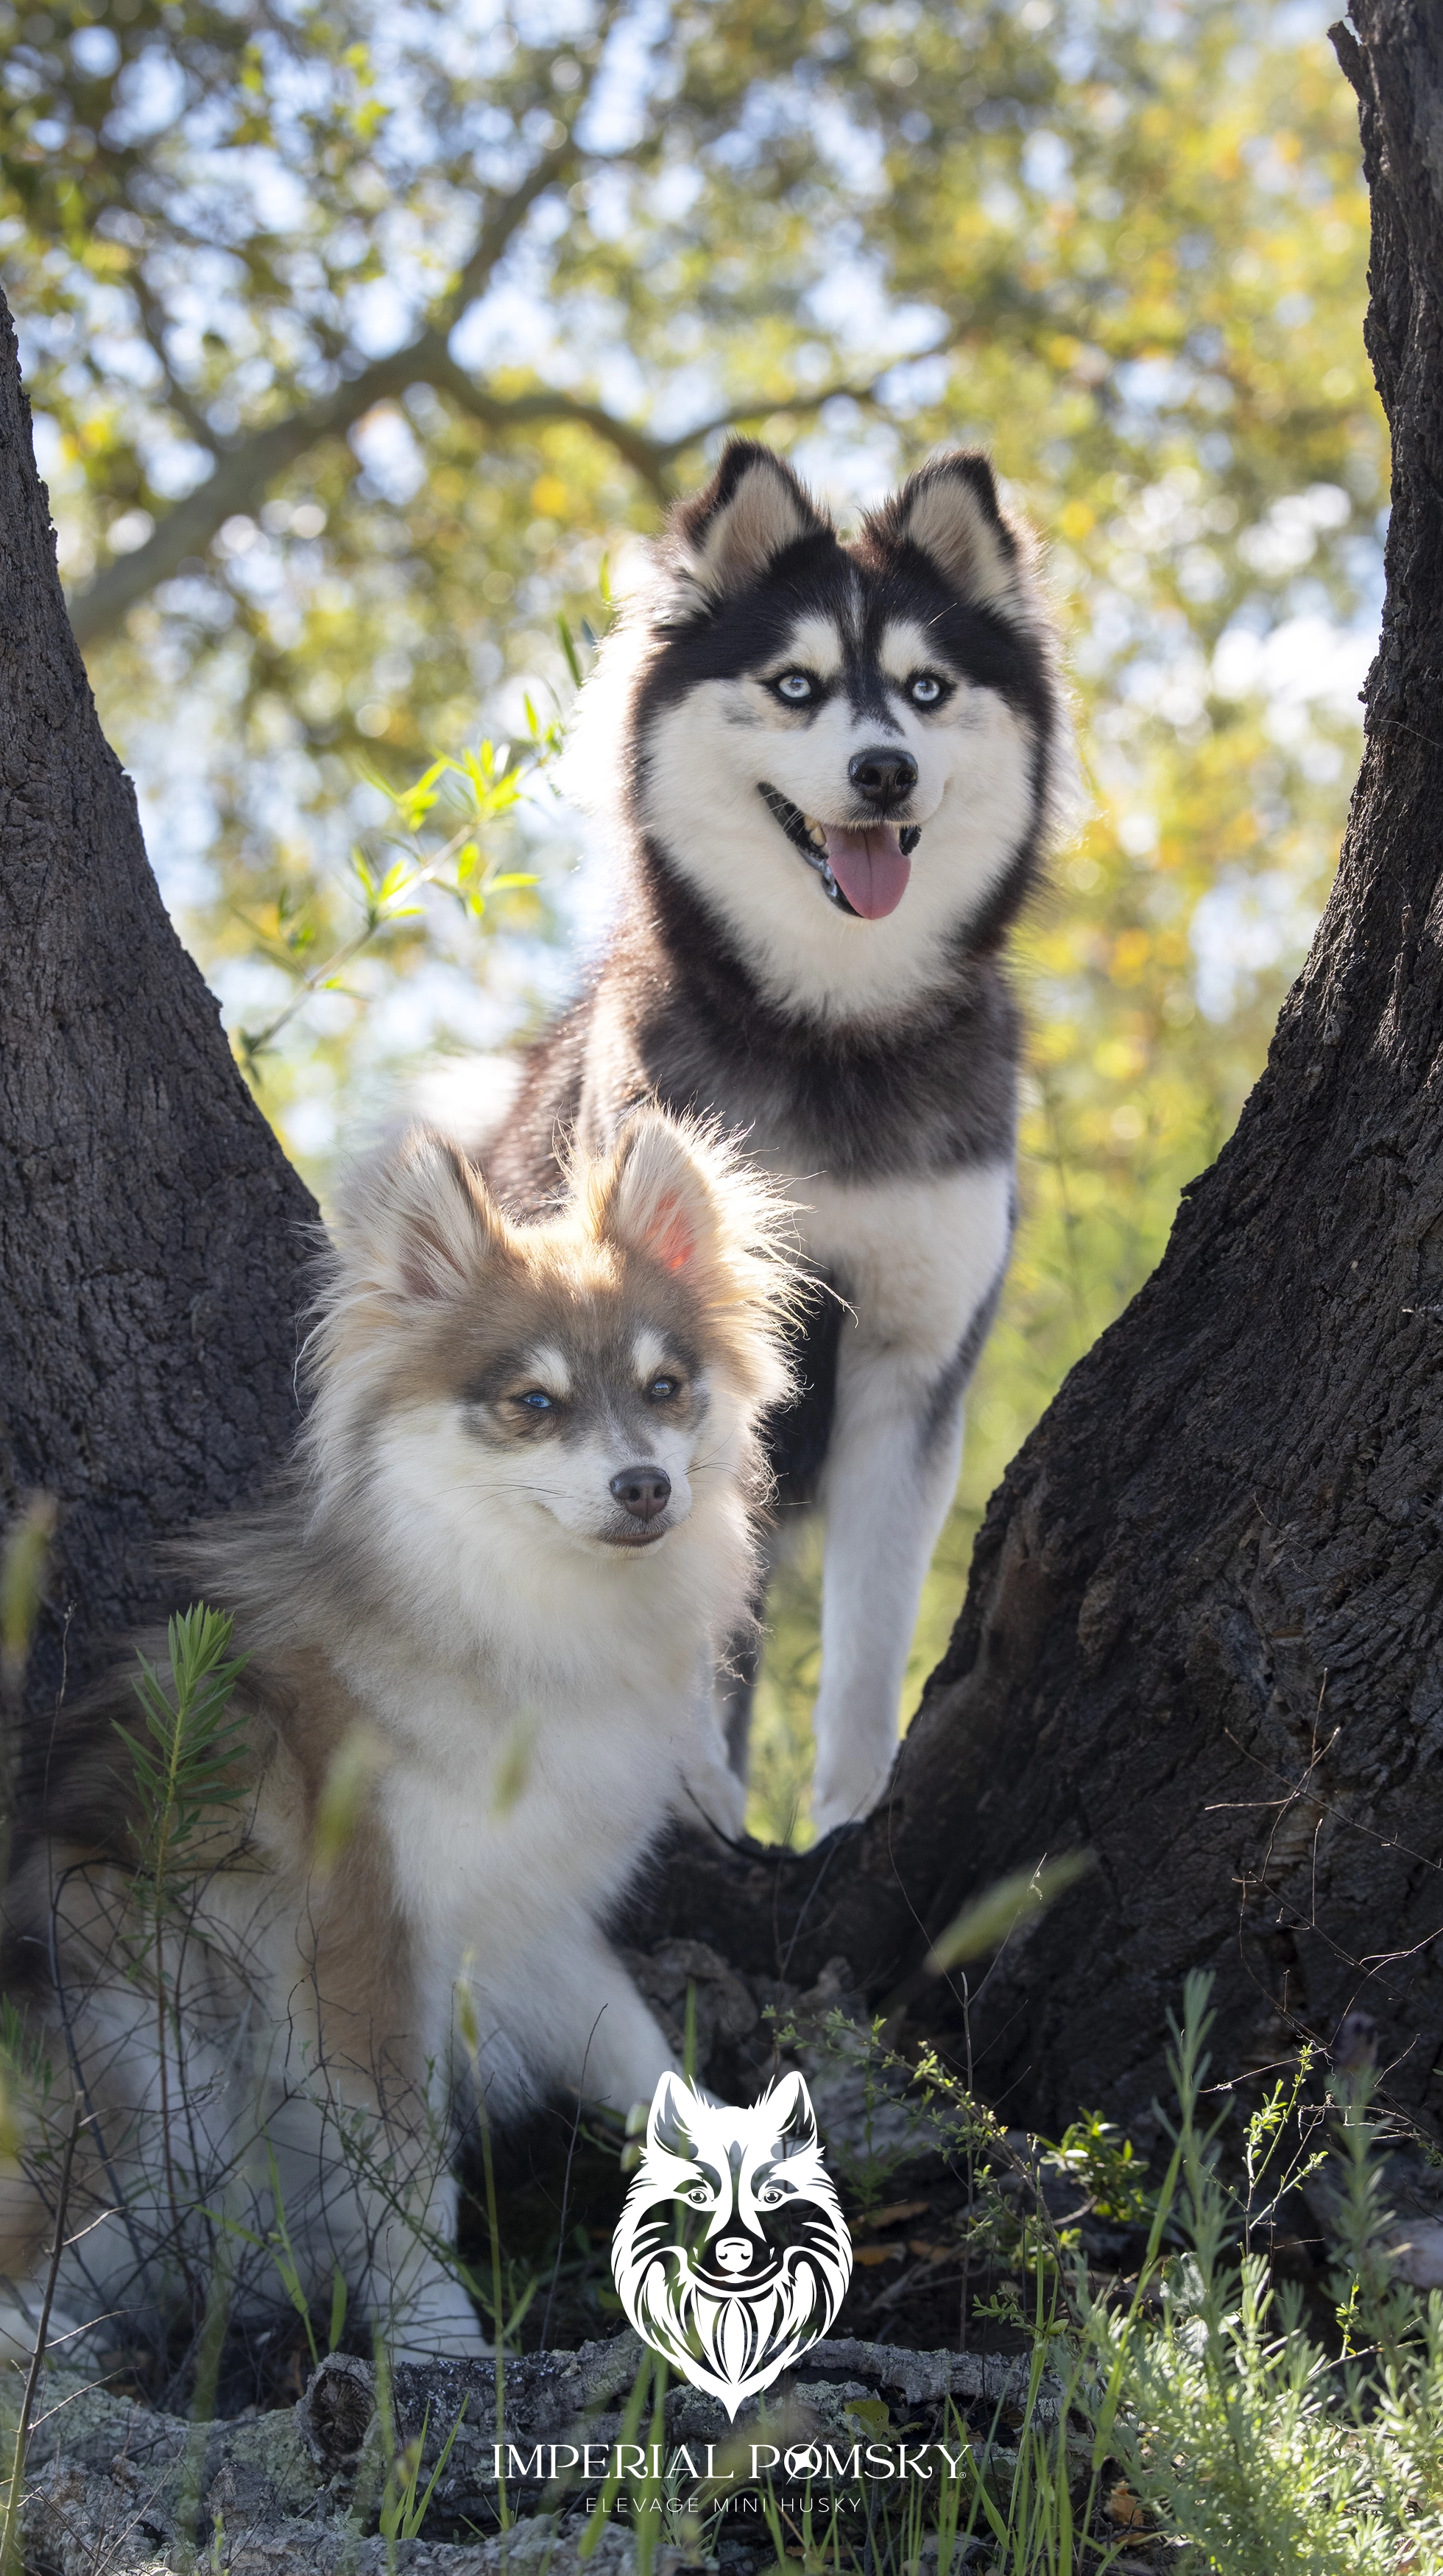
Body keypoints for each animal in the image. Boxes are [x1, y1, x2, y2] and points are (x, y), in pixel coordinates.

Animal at [481, 443, 1072, 1844]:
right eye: (796, 685)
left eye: (925, 688)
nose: (884, 770)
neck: (829, 1032)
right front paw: (693, 1785)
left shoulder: (911, 1370)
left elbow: (867, 1641)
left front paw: (854, 1811)